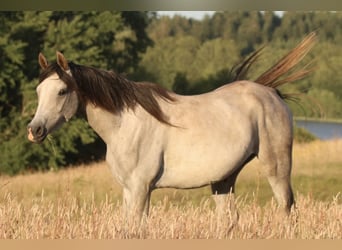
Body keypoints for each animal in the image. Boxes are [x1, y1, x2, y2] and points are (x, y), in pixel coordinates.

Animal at [28, 32, 316, 224]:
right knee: (230, 219)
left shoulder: (141, 189)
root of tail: (270, 92)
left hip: (276, 168)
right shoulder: (128, 191)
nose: (35, 130)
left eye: (62, 91)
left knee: (287, 209)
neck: (125, 125)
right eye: (39, 90)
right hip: (223, 180)